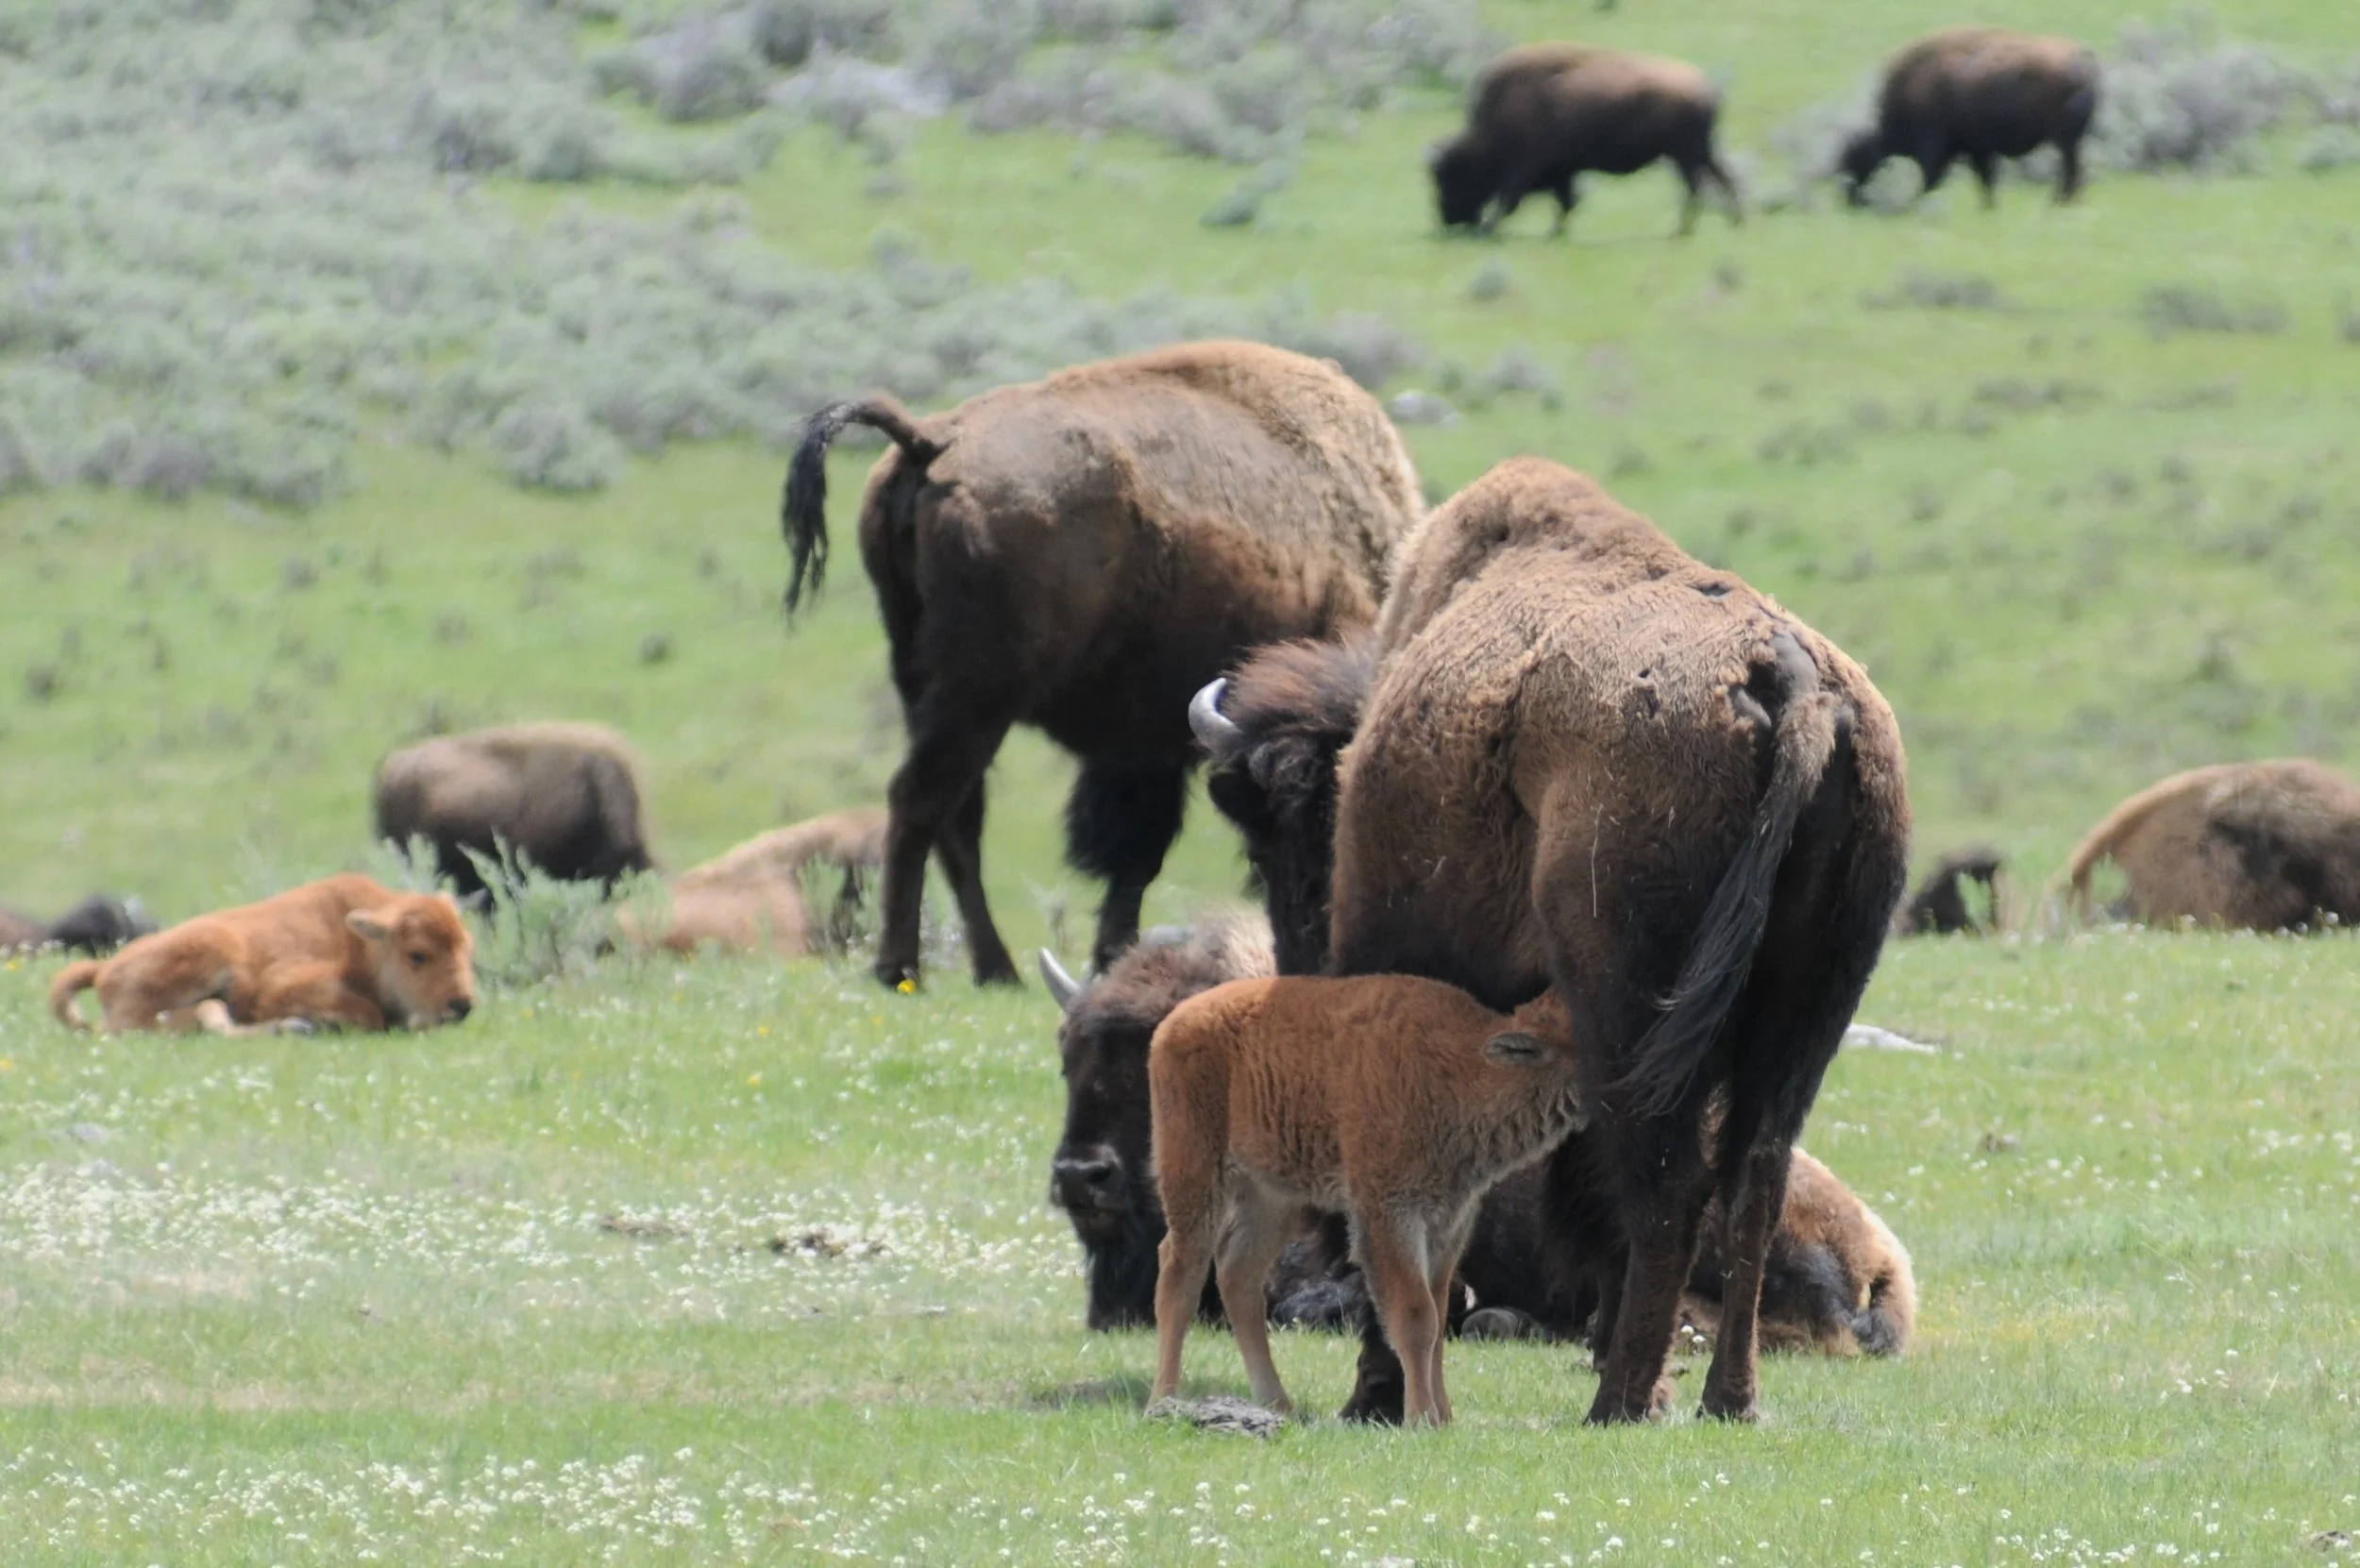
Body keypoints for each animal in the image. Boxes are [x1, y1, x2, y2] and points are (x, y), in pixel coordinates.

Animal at [48, 874, 476, 1036]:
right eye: (417, 955)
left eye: (466, 947)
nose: (462, 1005)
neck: (360, 943)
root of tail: (104, 969)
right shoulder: (281, 987)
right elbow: (367, 1013)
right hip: (212, 949)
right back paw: (296, 1026)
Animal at [778, 340, 1423, 990]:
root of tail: (930, 442)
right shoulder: (1155, 744)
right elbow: (1139, 850)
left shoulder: (1142, 744)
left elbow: (1133, 851)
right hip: (981, 694)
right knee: (920, 800)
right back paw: (903, 967)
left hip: (919, 679)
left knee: (958, 817)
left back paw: (994, 969)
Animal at [1149, 974, 1588, 1425]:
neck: (1465, 1065)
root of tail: (1175, 1022)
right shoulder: (1389, 1215)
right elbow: (1416, 1317)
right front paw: (1420, 1418)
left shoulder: (1448, 1222)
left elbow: (1438, 1316)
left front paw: (1443, 1417)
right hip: (1196, 1171)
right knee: (1180, 1271)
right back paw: (1162, 1400)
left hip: (1270, 1197)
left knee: (1239, 1277)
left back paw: (1277, 1403)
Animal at [1430, 44, 1741, 238]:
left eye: (1454, 176)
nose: (1447, 217)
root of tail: (1707, 89)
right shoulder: (1561, 171)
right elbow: (1565, 202)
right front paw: (1556, 232)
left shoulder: (1524, 169)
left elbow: (1510, 201)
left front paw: (1490, 229)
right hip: (1700, 152)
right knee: (1723, 178)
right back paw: (1734, 221)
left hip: (1685, 155)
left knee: (1695, 188)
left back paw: (1683, 230)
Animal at [1839, 29, 2100, 208]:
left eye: (1855, 157)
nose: (1849, 198)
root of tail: (2083, 61)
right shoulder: (1977, 150)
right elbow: (1985, 179)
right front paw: (1989, 206)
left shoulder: (1936, 147)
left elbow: (1932, 178)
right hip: (2070, 141)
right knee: (2076, 172)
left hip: (2064, 140)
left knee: (2072, 172)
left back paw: (2057, 203)